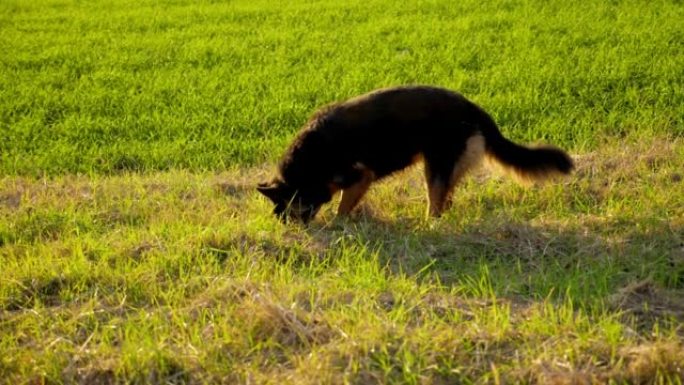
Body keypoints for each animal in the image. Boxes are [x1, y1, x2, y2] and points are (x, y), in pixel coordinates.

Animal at [256, 85, 572, 222]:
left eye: (288, 210)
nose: (288, 228)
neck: (306, 166)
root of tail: (474, 109)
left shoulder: (360, 175)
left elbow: (342, 207)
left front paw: (339, 224)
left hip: (436, 165)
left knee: (436, 202)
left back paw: (430, 224)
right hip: (445, 166)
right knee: (446, 199)